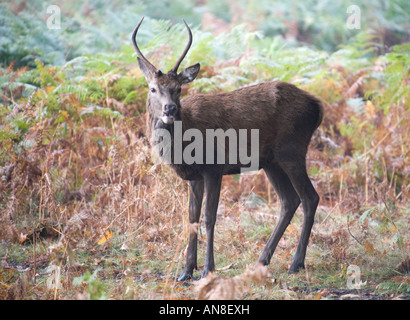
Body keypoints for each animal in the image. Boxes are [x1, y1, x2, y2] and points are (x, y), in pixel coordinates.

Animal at [131, 17, 324, 280]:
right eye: (153, 88)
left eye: (178, 89)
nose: (169, 109)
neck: (184, 147)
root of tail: (318, 107)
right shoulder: (194, 176)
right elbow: (192, 217)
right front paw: (186, 272)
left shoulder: (214, 167)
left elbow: (210, 217)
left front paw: (207, 269)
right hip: (271, 161)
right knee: (289, 201)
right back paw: (262, 260)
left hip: (292, 150)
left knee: (310, 197)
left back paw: (296, 263)